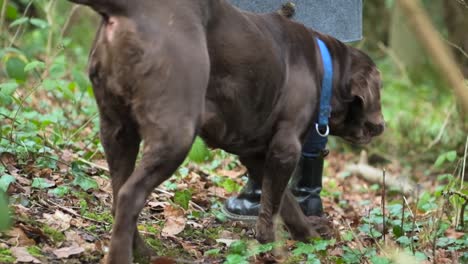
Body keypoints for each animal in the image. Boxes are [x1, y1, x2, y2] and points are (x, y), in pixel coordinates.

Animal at [67, 1, 386, 262]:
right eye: (379, 90)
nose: (382, 125)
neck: (324, 65)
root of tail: (128, 7)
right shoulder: (285, 148)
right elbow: (273, 205)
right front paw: (271, 248)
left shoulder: (256, 153)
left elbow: (287, 203)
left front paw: (310, 236)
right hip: (176, 133)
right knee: (129, 195)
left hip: (117, 128)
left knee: (118, 194)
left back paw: (145, 253)